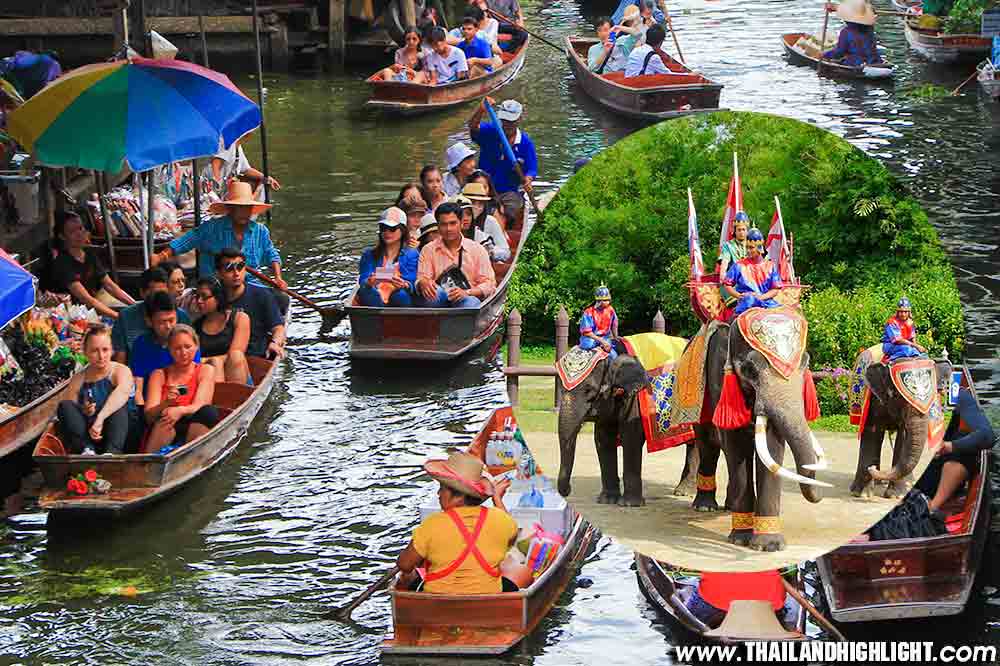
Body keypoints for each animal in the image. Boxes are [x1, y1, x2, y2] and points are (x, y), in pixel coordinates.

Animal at [696, 314, 828, 552]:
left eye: (805, 363)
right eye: (749, 369)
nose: (821, 495)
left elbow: (772, 450)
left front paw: (770, 545)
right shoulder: (719, 381)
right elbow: (736, 447)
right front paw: (741, 540)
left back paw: (728, 507)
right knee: (708, 447)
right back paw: (705, 507)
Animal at [852, 358, 952, 492]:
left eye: (934, 396)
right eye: (897, 395)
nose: (871, 468)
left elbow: (904, 436)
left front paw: (896, 494)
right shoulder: (872, 398)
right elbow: (871, 431)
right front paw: (861, 493)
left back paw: (908, 483)